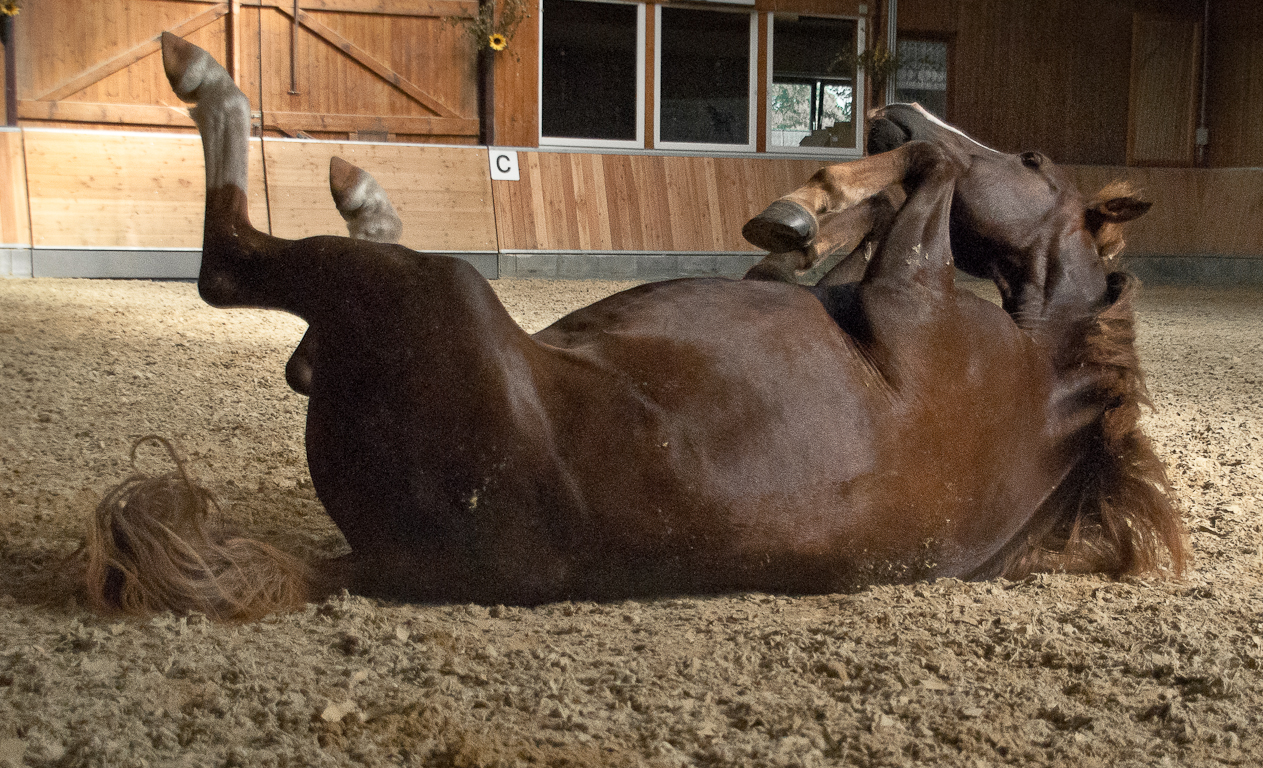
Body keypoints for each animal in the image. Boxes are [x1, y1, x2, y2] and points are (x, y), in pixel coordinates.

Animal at [83, 39, 1187, 621]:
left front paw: (822, 196)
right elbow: (847, 231)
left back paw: (203, 77)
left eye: (1034, 161)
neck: (1040, 370)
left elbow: (934, 180)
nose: (896, 107)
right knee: (294, 324)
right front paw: (802, 218)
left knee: (229, 260)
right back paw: (363, 194)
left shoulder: (911, 292)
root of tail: (380, 564)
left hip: (428, 293)